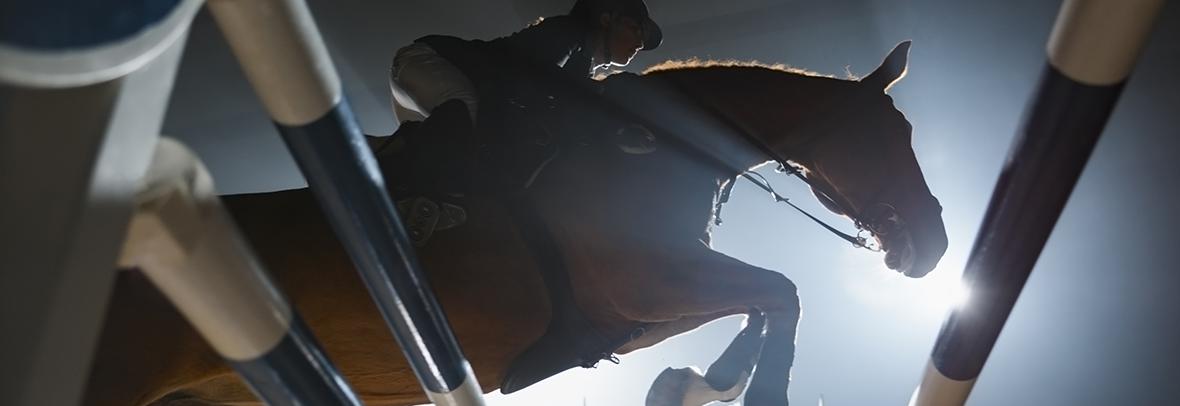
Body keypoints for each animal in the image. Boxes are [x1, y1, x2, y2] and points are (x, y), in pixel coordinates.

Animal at [85, 41, 948, 406]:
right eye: (896, 133)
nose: (935, 248)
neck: (649, 145)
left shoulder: (639, 311)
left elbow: (762, 301)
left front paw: (697, 382)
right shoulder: (648, 277)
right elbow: (783, 289)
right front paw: (755, 387)